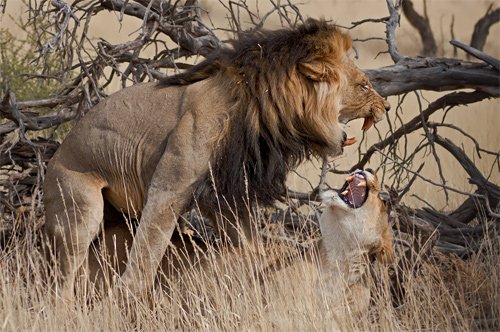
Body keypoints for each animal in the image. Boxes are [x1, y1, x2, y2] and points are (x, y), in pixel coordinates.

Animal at [44, 18, 390, 300]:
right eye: (363, 85)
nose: (385, 106)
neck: (262, 109)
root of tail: (53, 158)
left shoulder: (223, 194)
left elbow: (247, 243)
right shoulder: (170, 186)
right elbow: (148, 249)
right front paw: (127, 296)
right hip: (79, 208)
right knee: (62, 279)